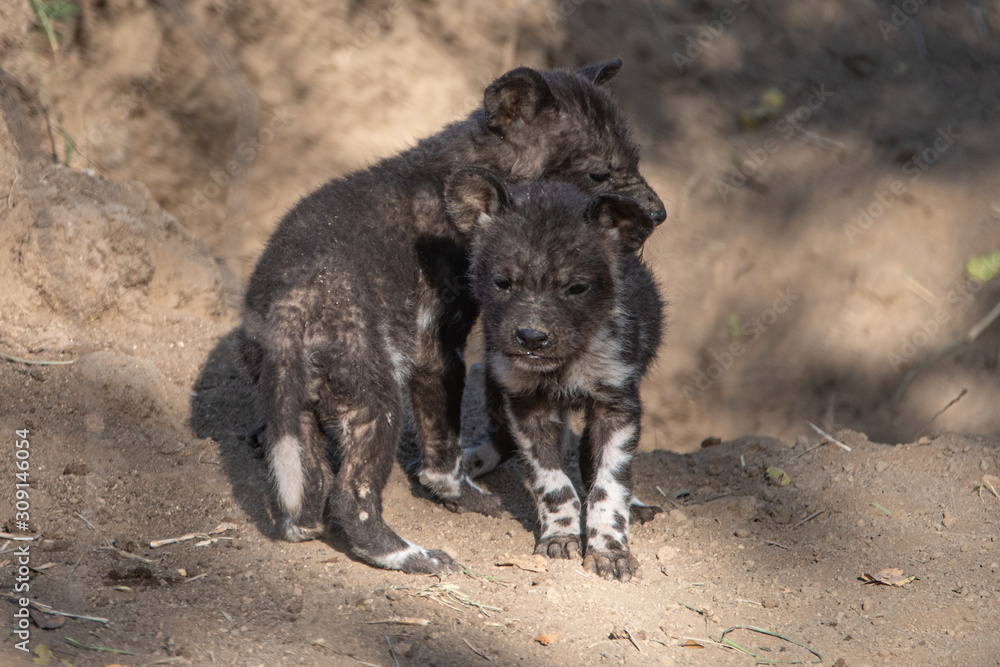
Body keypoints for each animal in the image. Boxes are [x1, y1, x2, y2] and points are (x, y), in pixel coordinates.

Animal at [447, 168, 664, 582]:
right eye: (503, 282)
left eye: (576, 288)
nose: (532, 338)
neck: (566, 366)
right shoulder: (527, 404)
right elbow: (552, 482)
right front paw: (560, 534)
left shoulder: (617, 407)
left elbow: (609, 485)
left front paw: (609, 547)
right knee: (502, 433)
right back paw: (472, 460)